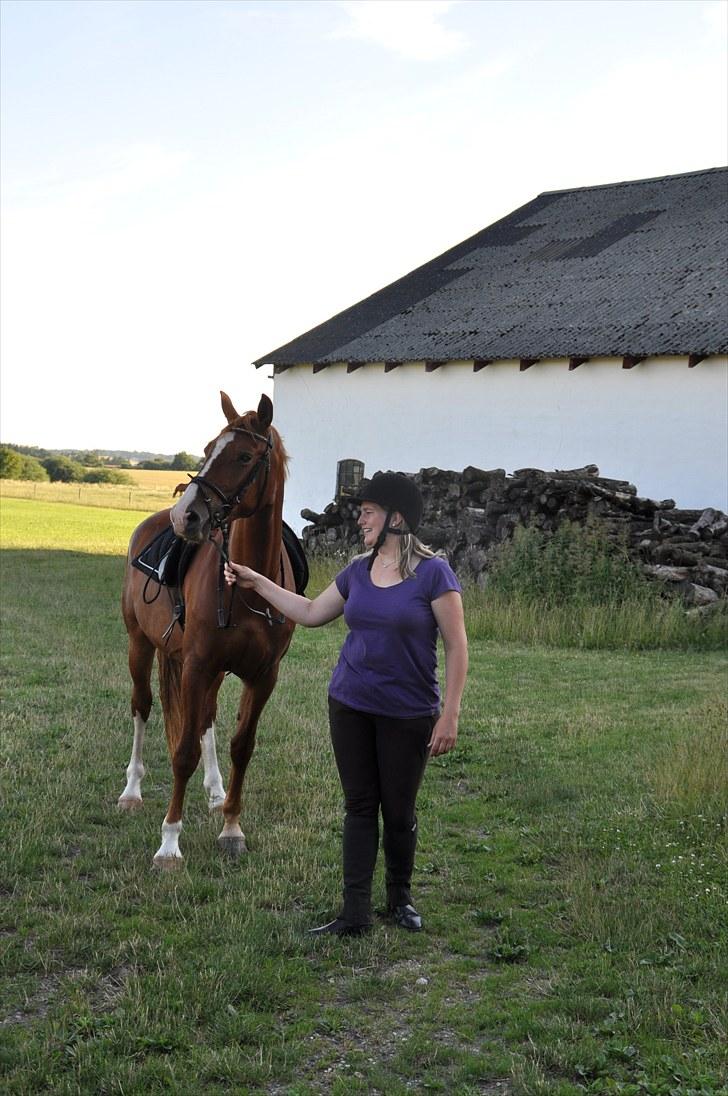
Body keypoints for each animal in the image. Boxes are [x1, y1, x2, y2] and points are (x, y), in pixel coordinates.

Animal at [117, 392, 293, 863]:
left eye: (245, 455)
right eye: (210, 446)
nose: (186, 516)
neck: (247, 587)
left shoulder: (261, 676)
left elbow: (240, 746)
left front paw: (231, 827)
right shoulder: (196, 665)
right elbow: (183, 752)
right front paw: (169, 843)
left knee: (207, 720)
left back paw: (215, 793)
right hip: (140, 646)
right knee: (143, 707)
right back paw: (131, 791)